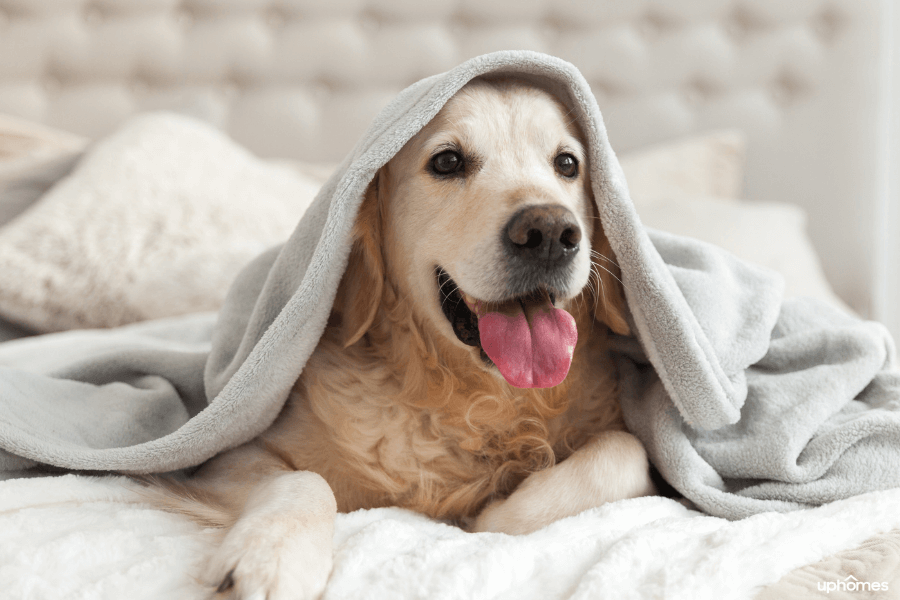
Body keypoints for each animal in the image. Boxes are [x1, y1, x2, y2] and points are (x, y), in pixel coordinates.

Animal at [146, 77, 652, 596]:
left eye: (567, 164)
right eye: (447, 162)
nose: (549, 232)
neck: (473, 399)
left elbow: (626, 451)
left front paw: (500, 513)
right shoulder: (222, 460)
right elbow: (304, 479)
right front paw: (269, 557)